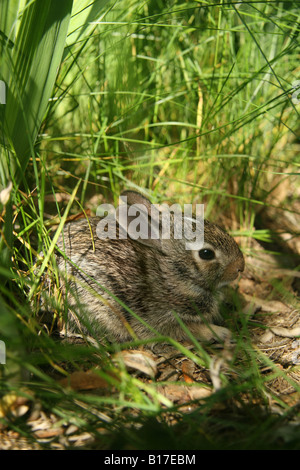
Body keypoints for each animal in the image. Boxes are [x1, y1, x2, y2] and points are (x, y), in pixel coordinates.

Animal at [54, 190, 244, 342]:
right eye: (206, 254)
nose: (240, 267)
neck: (168, 275)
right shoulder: (165, 318)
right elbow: (189, 330)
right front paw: (223, 333)